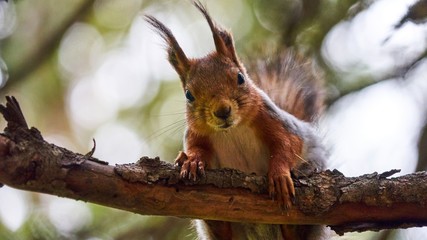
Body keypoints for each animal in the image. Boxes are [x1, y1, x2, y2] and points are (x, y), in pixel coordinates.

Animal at [145, 0, 326, 239]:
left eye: (240, 78)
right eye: (188, 95)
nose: (222, 111)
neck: (231, 130)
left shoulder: (275, 120)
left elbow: (287, 145)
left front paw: (279, 175)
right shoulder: (195, 135)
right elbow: (197, 149)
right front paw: (192, 159)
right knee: (221, 229)